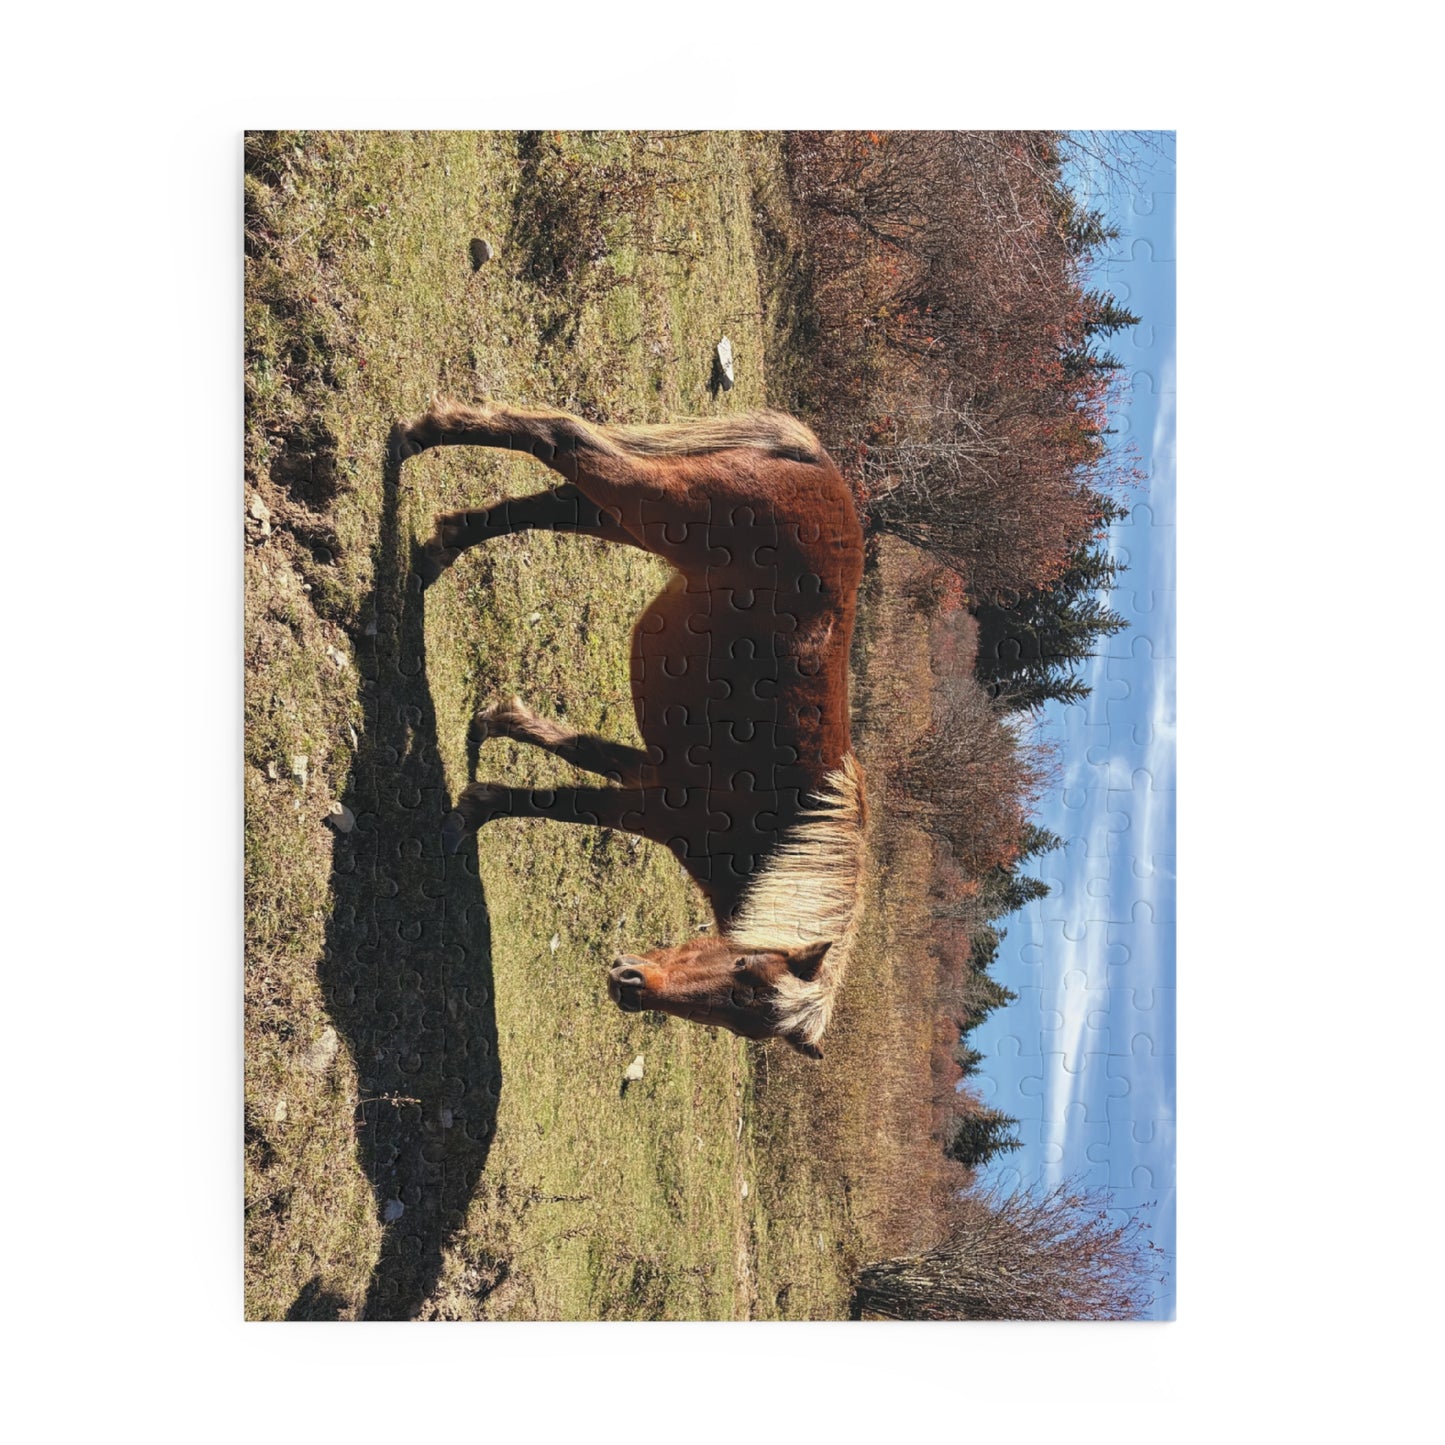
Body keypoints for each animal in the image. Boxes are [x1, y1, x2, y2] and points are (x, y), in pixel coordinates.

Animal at [391, 398, 867, 1059]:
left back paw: (440, 544)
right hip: (653, 504)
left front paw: (499, 722)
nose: (629, 984)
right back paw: (425, 433)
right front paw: (472, 811)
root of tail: (813, 462)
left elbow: (580, 750)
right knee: (563, 437)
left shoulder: (648, 770)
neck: (782, 833)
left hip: (623, 518)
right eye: (743, 968)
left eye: (736, 1021)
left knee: (548, 502)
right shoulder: (652, 810)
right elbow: (561, 803)